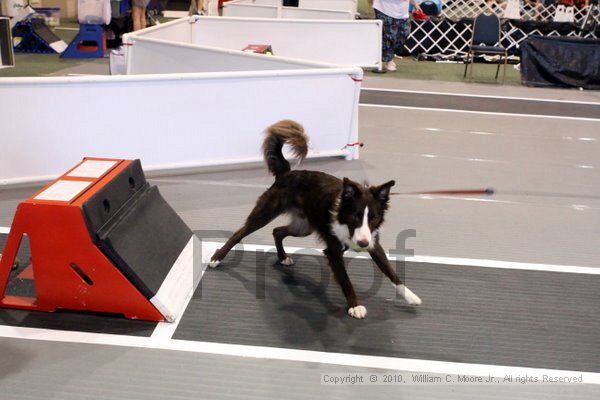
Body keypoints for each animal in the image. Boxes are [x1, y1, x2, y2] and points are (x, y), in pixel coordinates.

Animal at [211, 119, 422, 318]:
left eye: (374, 217)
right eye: (355, 216)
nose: (362, 244)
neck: (345, 223)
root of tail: (288, 172)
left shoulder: (373, 242)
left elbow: (391, 271)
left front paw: (411, 296)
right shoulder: (334, 251)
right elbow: (346, 280)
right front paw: (355, 306)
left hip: (303, 227)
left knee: (277, 231)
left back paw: (283, 257)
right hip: (266, 212)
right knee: (239, 233)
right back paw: (216, 258)